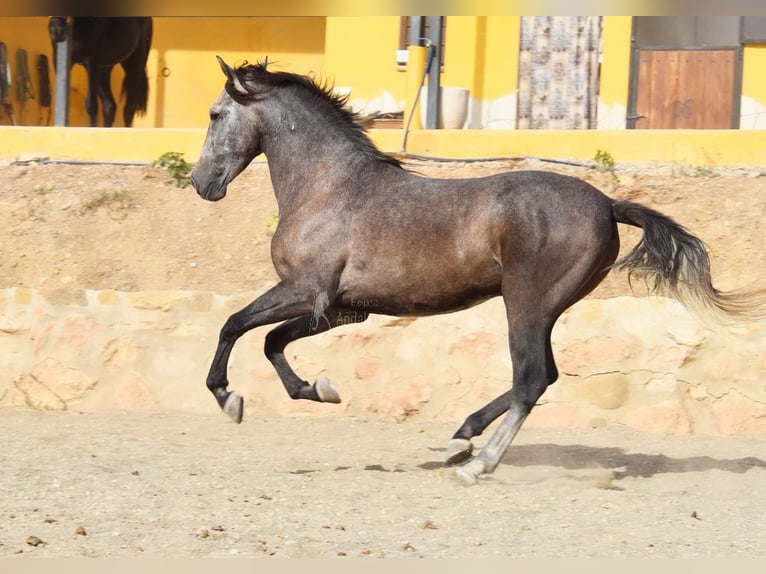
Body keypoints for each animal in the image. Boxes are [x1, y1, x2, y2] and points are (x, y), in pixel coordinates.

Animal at [190, 56, 766, 486]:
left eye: (216, 114)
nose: (201, 184)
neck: (329, 188)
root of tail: (607, 203)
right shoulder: (343, 309)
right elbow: (271, 341)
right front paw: (319, 389)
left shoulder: (305, 290)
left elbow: (235, 326)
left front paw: (230, 399)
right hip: (544, 307)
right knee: (542, 375)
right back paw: (460, 441)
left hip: (525, 302)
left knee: (531, 377)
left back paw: (478, 462)